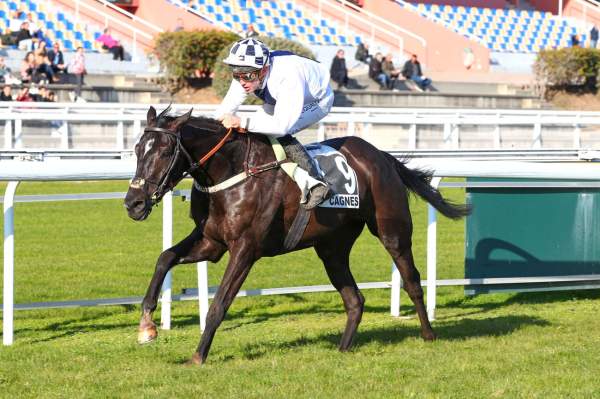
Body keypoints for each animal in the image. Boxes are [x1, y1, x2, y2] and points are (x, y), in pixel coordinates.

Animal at [123, 105, 468, 366]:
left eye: (165, 150)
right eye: (138, 149)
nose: (133, 203)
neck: (232, 172)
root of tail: (382, 155)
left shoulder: (245, 249)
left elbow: (219, 304)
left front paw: (198, 356)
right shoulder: (211, 242)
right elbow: (165, 257)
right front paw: (147, 326)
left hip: (392, 231)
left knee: (412, 280)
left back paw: (428, 335)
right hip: (332, 248)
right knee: (354, 299)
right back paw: (342, 348)